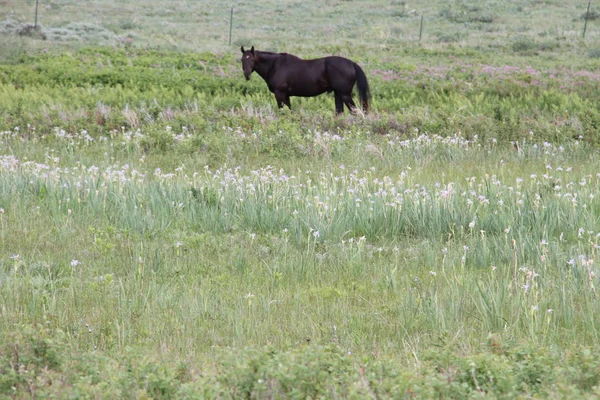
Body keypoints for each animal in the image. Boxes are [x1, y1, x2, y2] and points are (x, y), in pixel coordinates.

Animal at [240, 45, 370, 114]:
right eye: (242, 59)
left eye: (252, 59)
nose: (246, 74)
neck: (276, 65)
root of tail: (352, 64)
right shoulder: (286, 95)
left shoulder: (280, 94)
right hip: (338, 94)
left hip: (345, 94)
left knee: (355, 111)